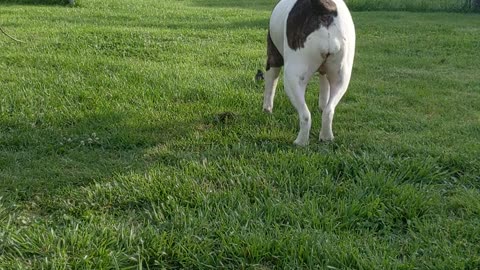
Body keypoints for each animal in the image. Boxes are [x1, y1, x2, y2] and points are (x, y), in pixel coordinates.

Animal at [262, 0, 356, 146]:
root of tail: (324, 10)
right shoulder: (325, 72)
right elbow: (324, 88)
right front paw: (322, 105)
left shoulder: (273, 58)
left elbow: (270, 85)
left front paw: (267, 109)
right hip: (341, 78)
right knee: (329, 110)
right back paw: (326, 136)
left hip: (292, 78)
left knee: (305, 115)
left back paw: (300, 142)